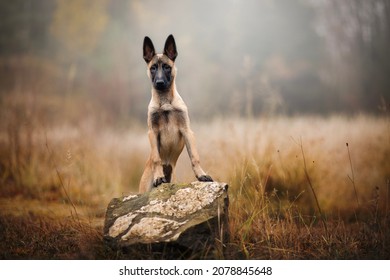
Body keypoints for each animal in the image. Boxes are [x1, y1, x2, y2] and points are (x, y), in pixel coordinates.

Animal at [139, 34, 213, 194]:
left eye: (167, 67)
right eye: (153, 68)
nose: (160, 82)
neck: (165, 101)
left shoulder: (187, 131)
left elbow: (194, 157)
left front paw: (202, 175)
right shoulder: (152, 132)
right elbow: (156, 158)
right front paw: (158, 176)